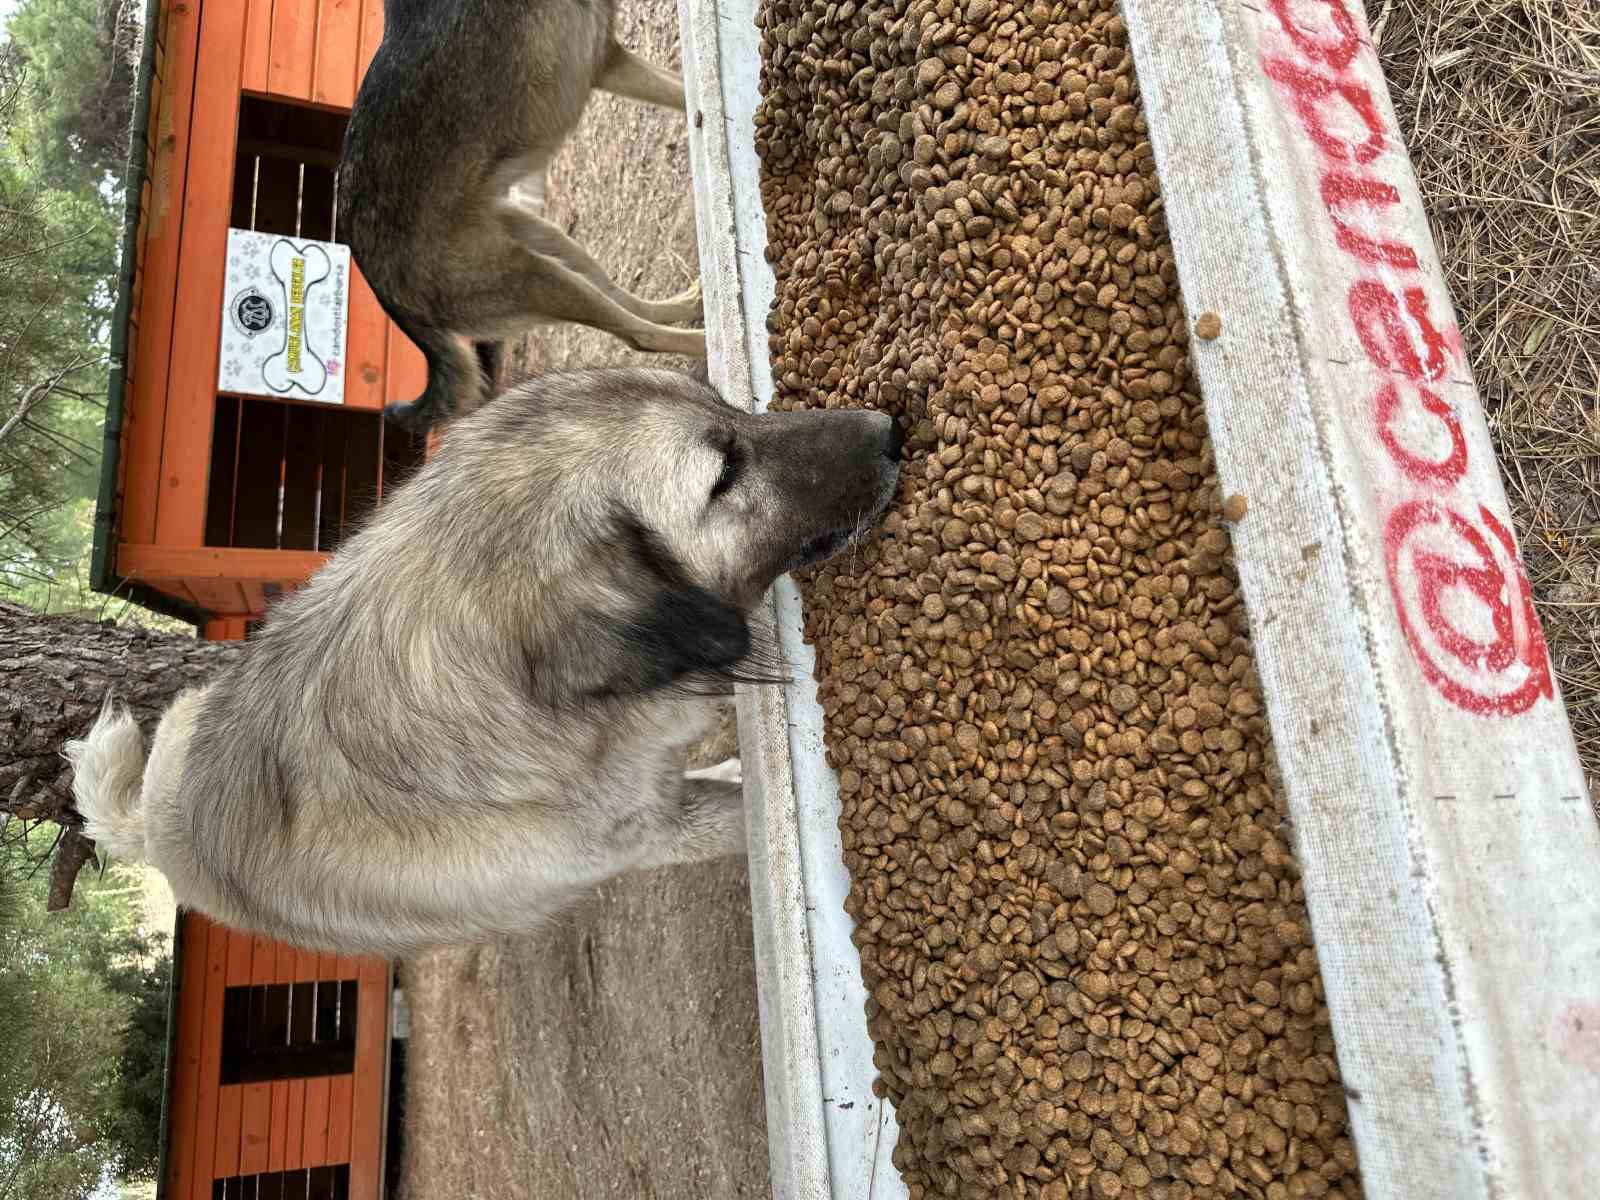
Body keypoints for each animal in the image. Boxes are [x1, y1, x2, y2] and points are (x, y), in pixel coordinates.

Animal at [339, 2, 707, 435]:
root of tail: (388, 296)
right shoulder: (609, 60)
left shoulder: (609, 59)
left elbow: (681, 93)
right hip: (540, 277)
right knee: (638, 334)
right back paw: (708, 342)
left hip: (550, 243)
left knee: (625, 299)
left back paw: (691, 303)